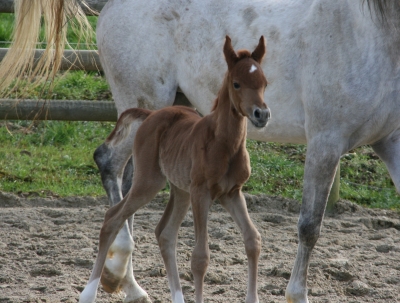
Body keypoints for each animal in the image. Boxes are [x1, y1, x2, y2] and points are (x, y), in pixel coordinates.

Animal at [79, 36, 270, 303]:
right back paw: (88, 293)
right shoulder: (202, 193)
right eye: (237, 84)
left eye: (264, 83)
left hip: (181, 190)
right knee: (112, 218)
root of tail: (150, 114)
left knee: (165, 233)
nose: (261, 114)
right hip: (149, 182)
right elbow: (200, 257)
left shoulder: (232, 193)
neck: (224, 144)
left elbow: (253, 239)